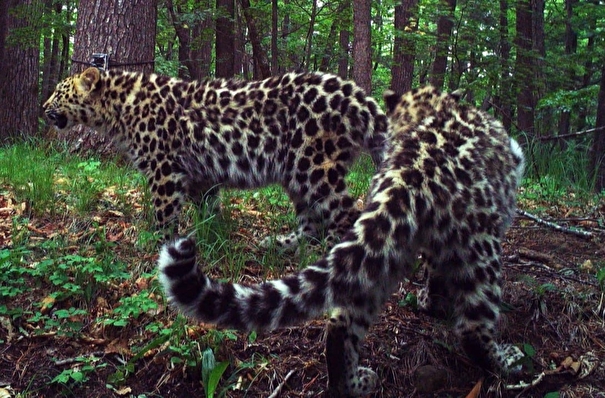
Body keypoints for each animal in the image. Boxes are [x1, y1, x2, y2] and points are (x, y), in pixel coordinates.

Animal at [44, 67, 390, 247]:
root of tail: (356, 96)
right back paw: (282, 245)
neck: (118, 109)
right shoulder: (199, 175)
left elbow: (164, 212)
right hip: (297, 174)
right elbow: (208, 208)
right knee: (311, 220)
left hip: (315, 166)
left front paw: (157, 242)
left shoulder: (164, 169)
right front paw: (211, 235)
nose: (43, 106)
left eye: (58, 93)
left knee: (346, 213)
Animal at [159, 85, 524, 396]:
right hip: (479, 244)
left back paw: (355, 382)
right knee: (474, 326)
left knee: (341, 319)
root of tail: (411, 173)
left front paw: (430, 301)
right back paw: (507, 361)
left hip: (381, 244)